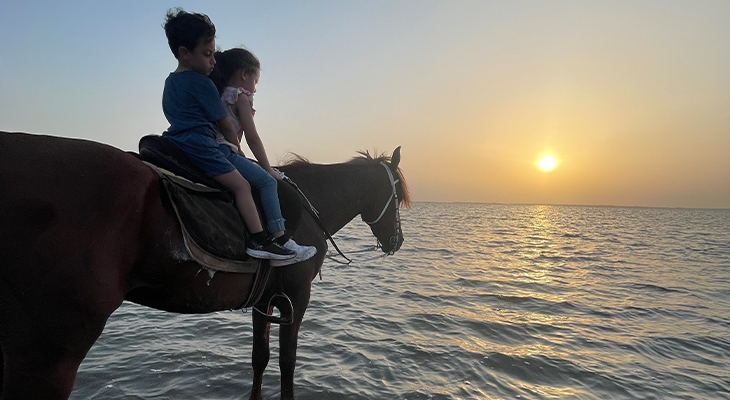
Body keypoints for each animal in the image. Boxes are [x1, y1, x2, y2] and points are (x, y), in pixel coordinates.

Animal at [0, 132, 410, 400]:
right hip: (52, 350)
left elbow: (260, 358)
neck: (312, 204)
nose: (398, 240)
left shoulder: (265, 300)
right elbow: (287, 363)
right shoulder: (296, 296)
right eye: (397, 196)